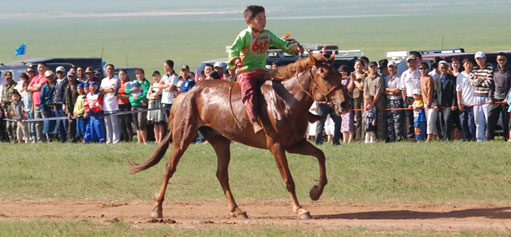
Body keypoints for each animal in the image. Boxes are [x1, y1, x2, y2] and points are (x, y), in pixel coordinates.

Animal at [128, 52, 352, 219]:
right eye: (324, 75)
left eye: (339, 75)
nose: (345, 103)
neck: (287, 100)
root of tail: (186, 94)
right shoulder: (277, 146)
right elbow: (288, 179)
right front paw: (300, 209)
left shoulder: (295, 143)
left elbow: (321, 156)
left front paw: (315, 191)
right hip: (183, 138)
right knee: (170, 167)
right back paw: (157, 209)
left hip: (221, 142)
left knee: (221, 174)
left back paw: (237, 210)